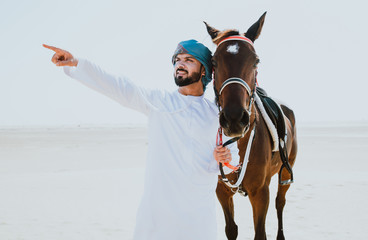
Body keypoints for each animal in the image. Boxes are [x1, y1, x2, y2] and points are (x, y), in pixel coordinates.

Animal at [206, 11, 298, 240]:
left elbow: (260, 233)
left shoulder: (260, 193)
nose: (234, 118)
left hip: (285, 172)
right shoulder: (222, 190)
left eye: (256, 61)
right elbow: (231, 229)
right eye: (214, 61)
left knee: (280, 203)